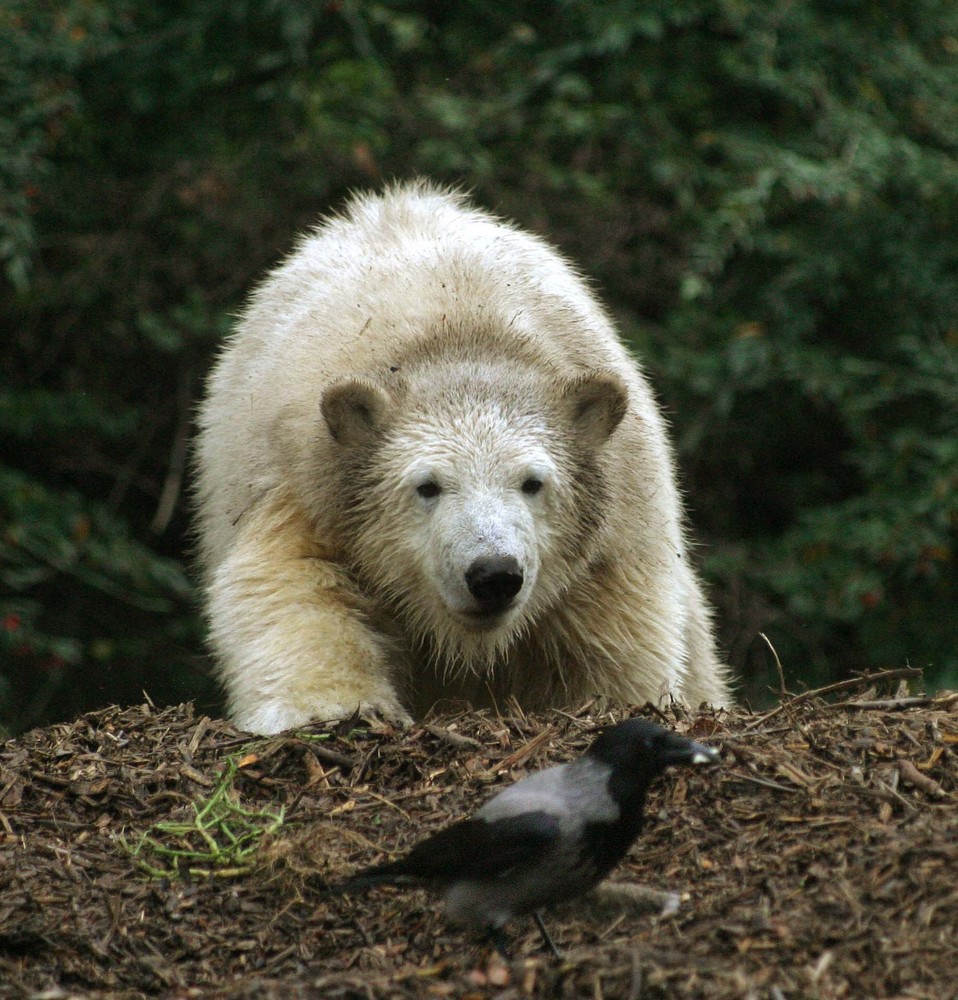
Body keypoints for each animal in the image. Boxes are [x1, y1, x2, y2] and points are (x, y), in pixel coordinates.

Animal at [197, 180, 736, 732]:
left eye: (533, 482)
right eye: (427, 486)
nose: (494, 575)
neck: (460, 340)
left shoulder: (617, 520)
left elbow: (618, 638)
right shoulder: (309, 482)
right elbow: (292, 586)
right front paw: (332, 707)